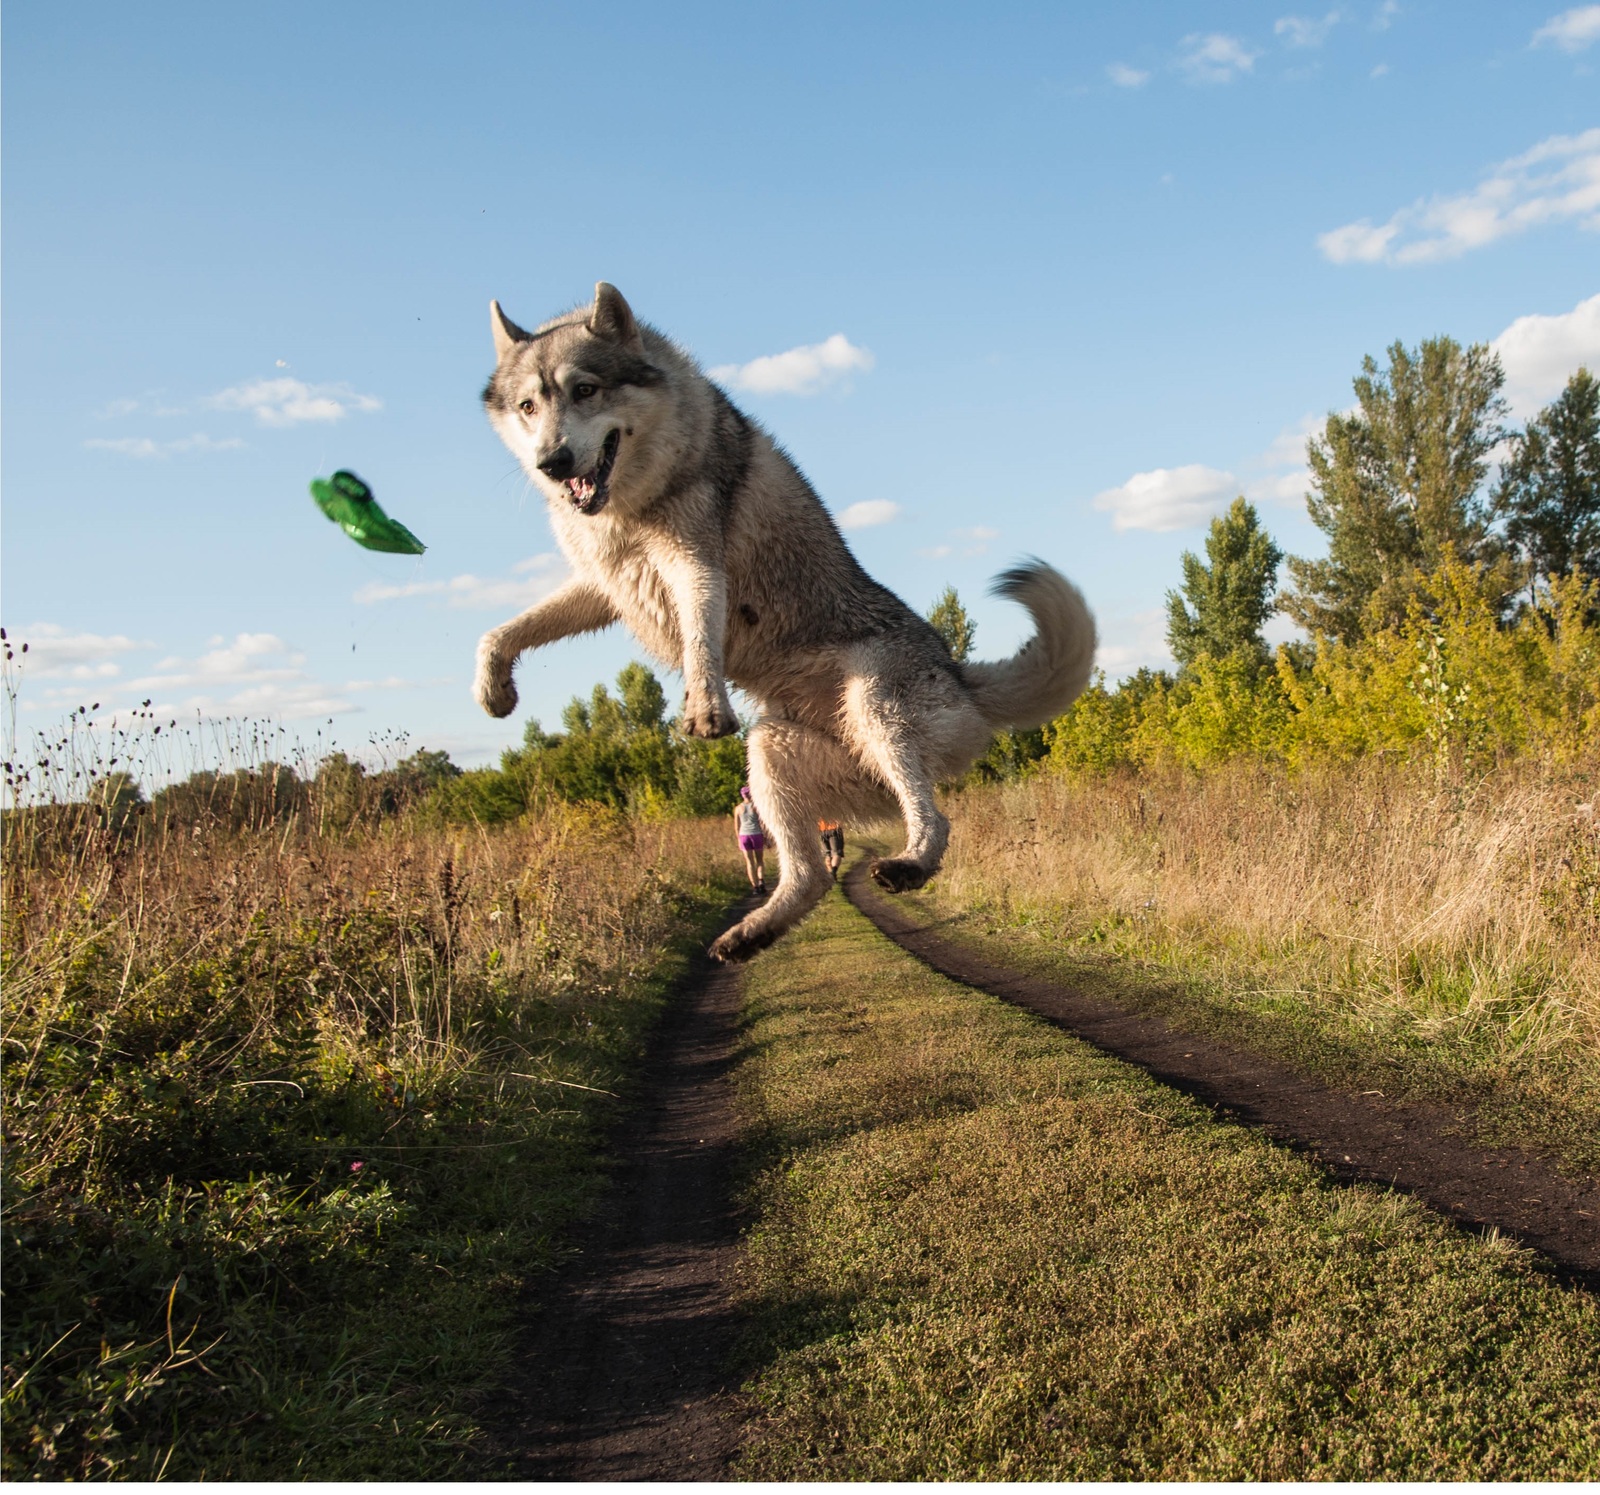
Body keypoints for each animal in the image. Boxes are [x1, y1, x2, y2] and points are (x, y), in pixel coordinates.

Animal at [476, 283, 1100, 960]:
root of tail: (961, 675)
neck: (633, 506)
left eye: (585, 389)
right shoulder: (605, 586)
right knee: (807, 877)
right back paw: (751, 933)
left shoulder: (696, 564)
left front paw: (703, 704)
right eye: (529, 406)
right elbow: (500, 633)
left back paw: (908, 865)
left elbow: (700, 638)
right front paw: (494, 687)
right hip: (773, 753)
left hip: (874, 708)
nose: (553, 462)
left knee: (934, 819)